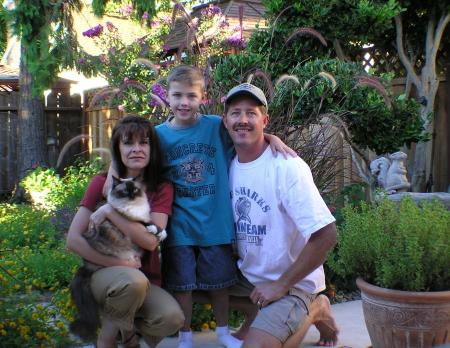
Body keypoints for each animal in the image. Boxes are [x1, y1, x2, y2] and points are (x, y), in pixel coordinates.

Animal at [69, 175, 168, 342]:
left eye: (135, 190)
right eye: (126, 191)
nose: (132, 196)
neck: (133, 207)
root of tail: (87, 265)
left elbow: (150, 222)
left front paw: (160, 233)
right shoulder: (132, 220)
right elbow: (145, 223)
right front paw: (158, 232)